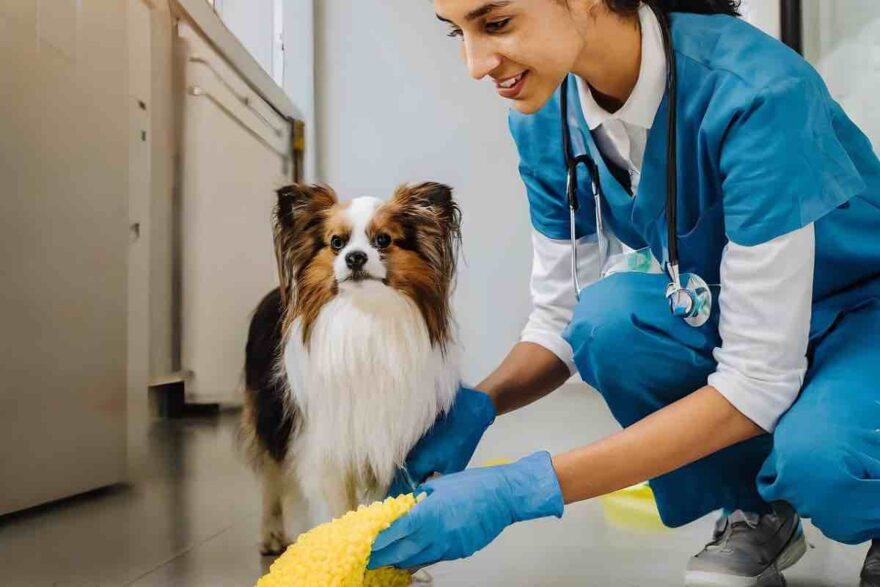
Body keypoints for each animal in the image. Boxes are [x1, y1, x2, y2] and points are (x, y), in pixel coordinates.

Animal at [237, 183, 464, 556]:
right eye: (336, 243)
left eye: (383, 240)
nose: (355, 257)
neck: (364, 314)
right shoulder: (326, 447)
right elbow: (338, 507)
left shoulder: (384, 443)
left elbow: (376, 506)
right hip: (270, 417)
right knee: (272, 478)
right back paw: (271, 535)